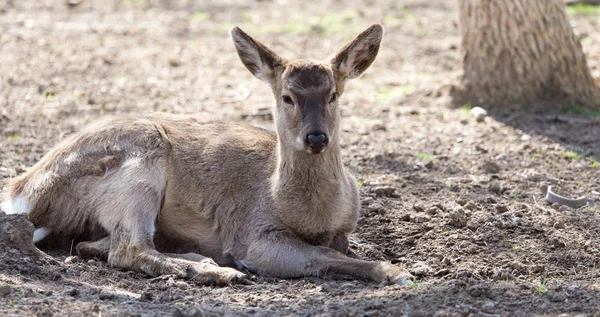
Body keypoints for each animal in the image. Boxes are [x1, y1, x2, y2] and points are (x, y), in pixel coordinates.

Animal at [1, 24, 412, 286]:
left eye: (333, 95)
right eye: (287, 97)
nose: (315, 137)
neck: (315, 217)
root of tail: (23, 191)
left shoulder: (344, 229)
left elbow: (337, 250)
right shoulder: (254, 232)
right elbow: (322, 256)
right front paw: (396, 272)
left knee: (97, 245)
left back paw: (207, 261)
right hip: (137, 168)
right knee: (128, 249)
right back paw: (221, 271)